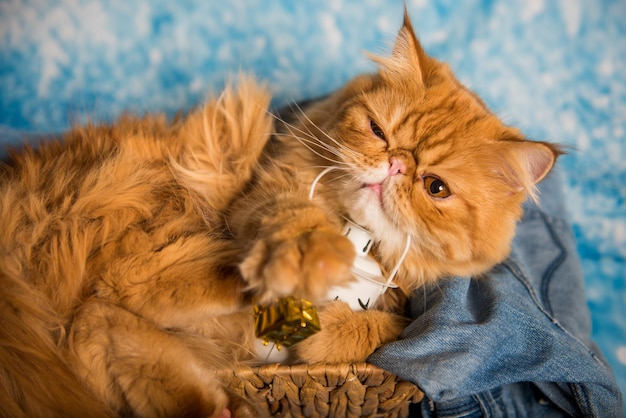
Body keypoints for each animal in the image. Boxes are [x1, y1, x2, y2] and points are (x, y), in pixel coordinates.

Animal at [0, 11, 556, 418]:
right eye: (378, 131)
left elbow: (393, 330)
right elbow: (295, 229)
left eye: (436, 187)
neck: (358, 239)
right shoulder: (265, 195)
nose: (396, 164)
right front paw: (305, 262)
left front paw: (328, 328)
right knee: (131, 293)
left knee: (110, 323)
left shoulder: (413, 313)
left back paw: (228, 401)